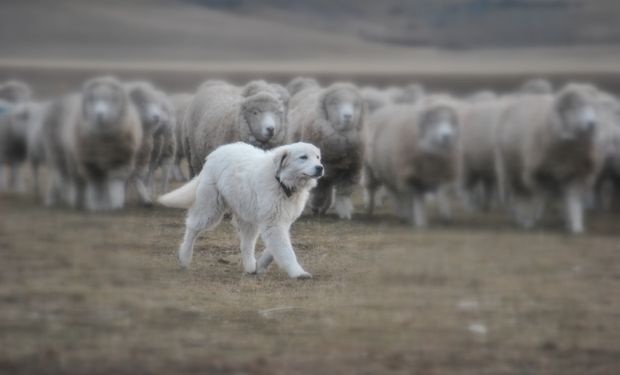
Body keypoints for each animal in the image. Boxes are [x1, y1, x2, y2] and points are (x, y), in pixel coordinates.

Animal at [41, 76, 142, 212]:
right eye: (92, 99)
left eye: (111, 99)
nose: (99, 114)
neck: (104, 143)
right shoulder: (90, 163)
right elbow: (96, 186)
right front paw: (97, 206)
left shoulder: (120, 161)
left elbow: (114, 184)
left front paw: (114, 205)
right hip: (59, 154)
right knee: (66, 179)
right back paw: (66, 200)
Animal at [159, 142, 324, 280]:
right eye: (303, 157)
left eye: (317, 157)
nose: (320, 167)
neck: (281, 181)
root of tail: (216, 152)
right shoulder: (274, 223)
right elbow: (286, 250)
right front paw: (298, 272)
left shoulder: (281, 221)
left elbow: (274, 248)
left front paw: (262, 265)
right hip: (210, 210)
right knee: (192, 229)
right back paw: (184, 257)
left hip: (248, 217)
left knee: (246, 244)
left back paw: (251, 266)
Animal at [288, 82, 366, 217]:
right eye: (334, 102)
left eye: (356, 104)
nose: (348, 116)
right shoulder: (320, 170)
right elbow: (319, 191)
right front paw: (315, 206)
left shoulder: (351, 170)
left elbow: (344, 194)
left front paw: (345, 213)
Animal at [364, 100, 460, 228]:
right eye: (433, 121)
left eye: (452, 122)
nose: (446, 136)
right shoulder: (412, 176)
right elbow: (417, 199)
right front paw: (420, 223)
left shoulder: (442, 172)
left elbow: (442, 193)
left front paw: (445, 215)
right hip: (372, 168)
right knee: (374, 189)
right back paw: (372, 209)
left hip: (389, 171)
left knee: (395, 192)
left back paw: (402, 214)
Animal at [492, 83, 604, 234]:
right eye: (575, 106)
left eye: (594, 106)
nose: (592, 124)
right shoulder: (536, 174)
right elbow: (540, 198)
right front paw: (533, 220)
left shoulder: (575, 173)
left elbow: (572, 202)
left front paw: (576, 227)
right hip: (509, 170)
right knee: (518, 195)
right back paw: (520, 217)